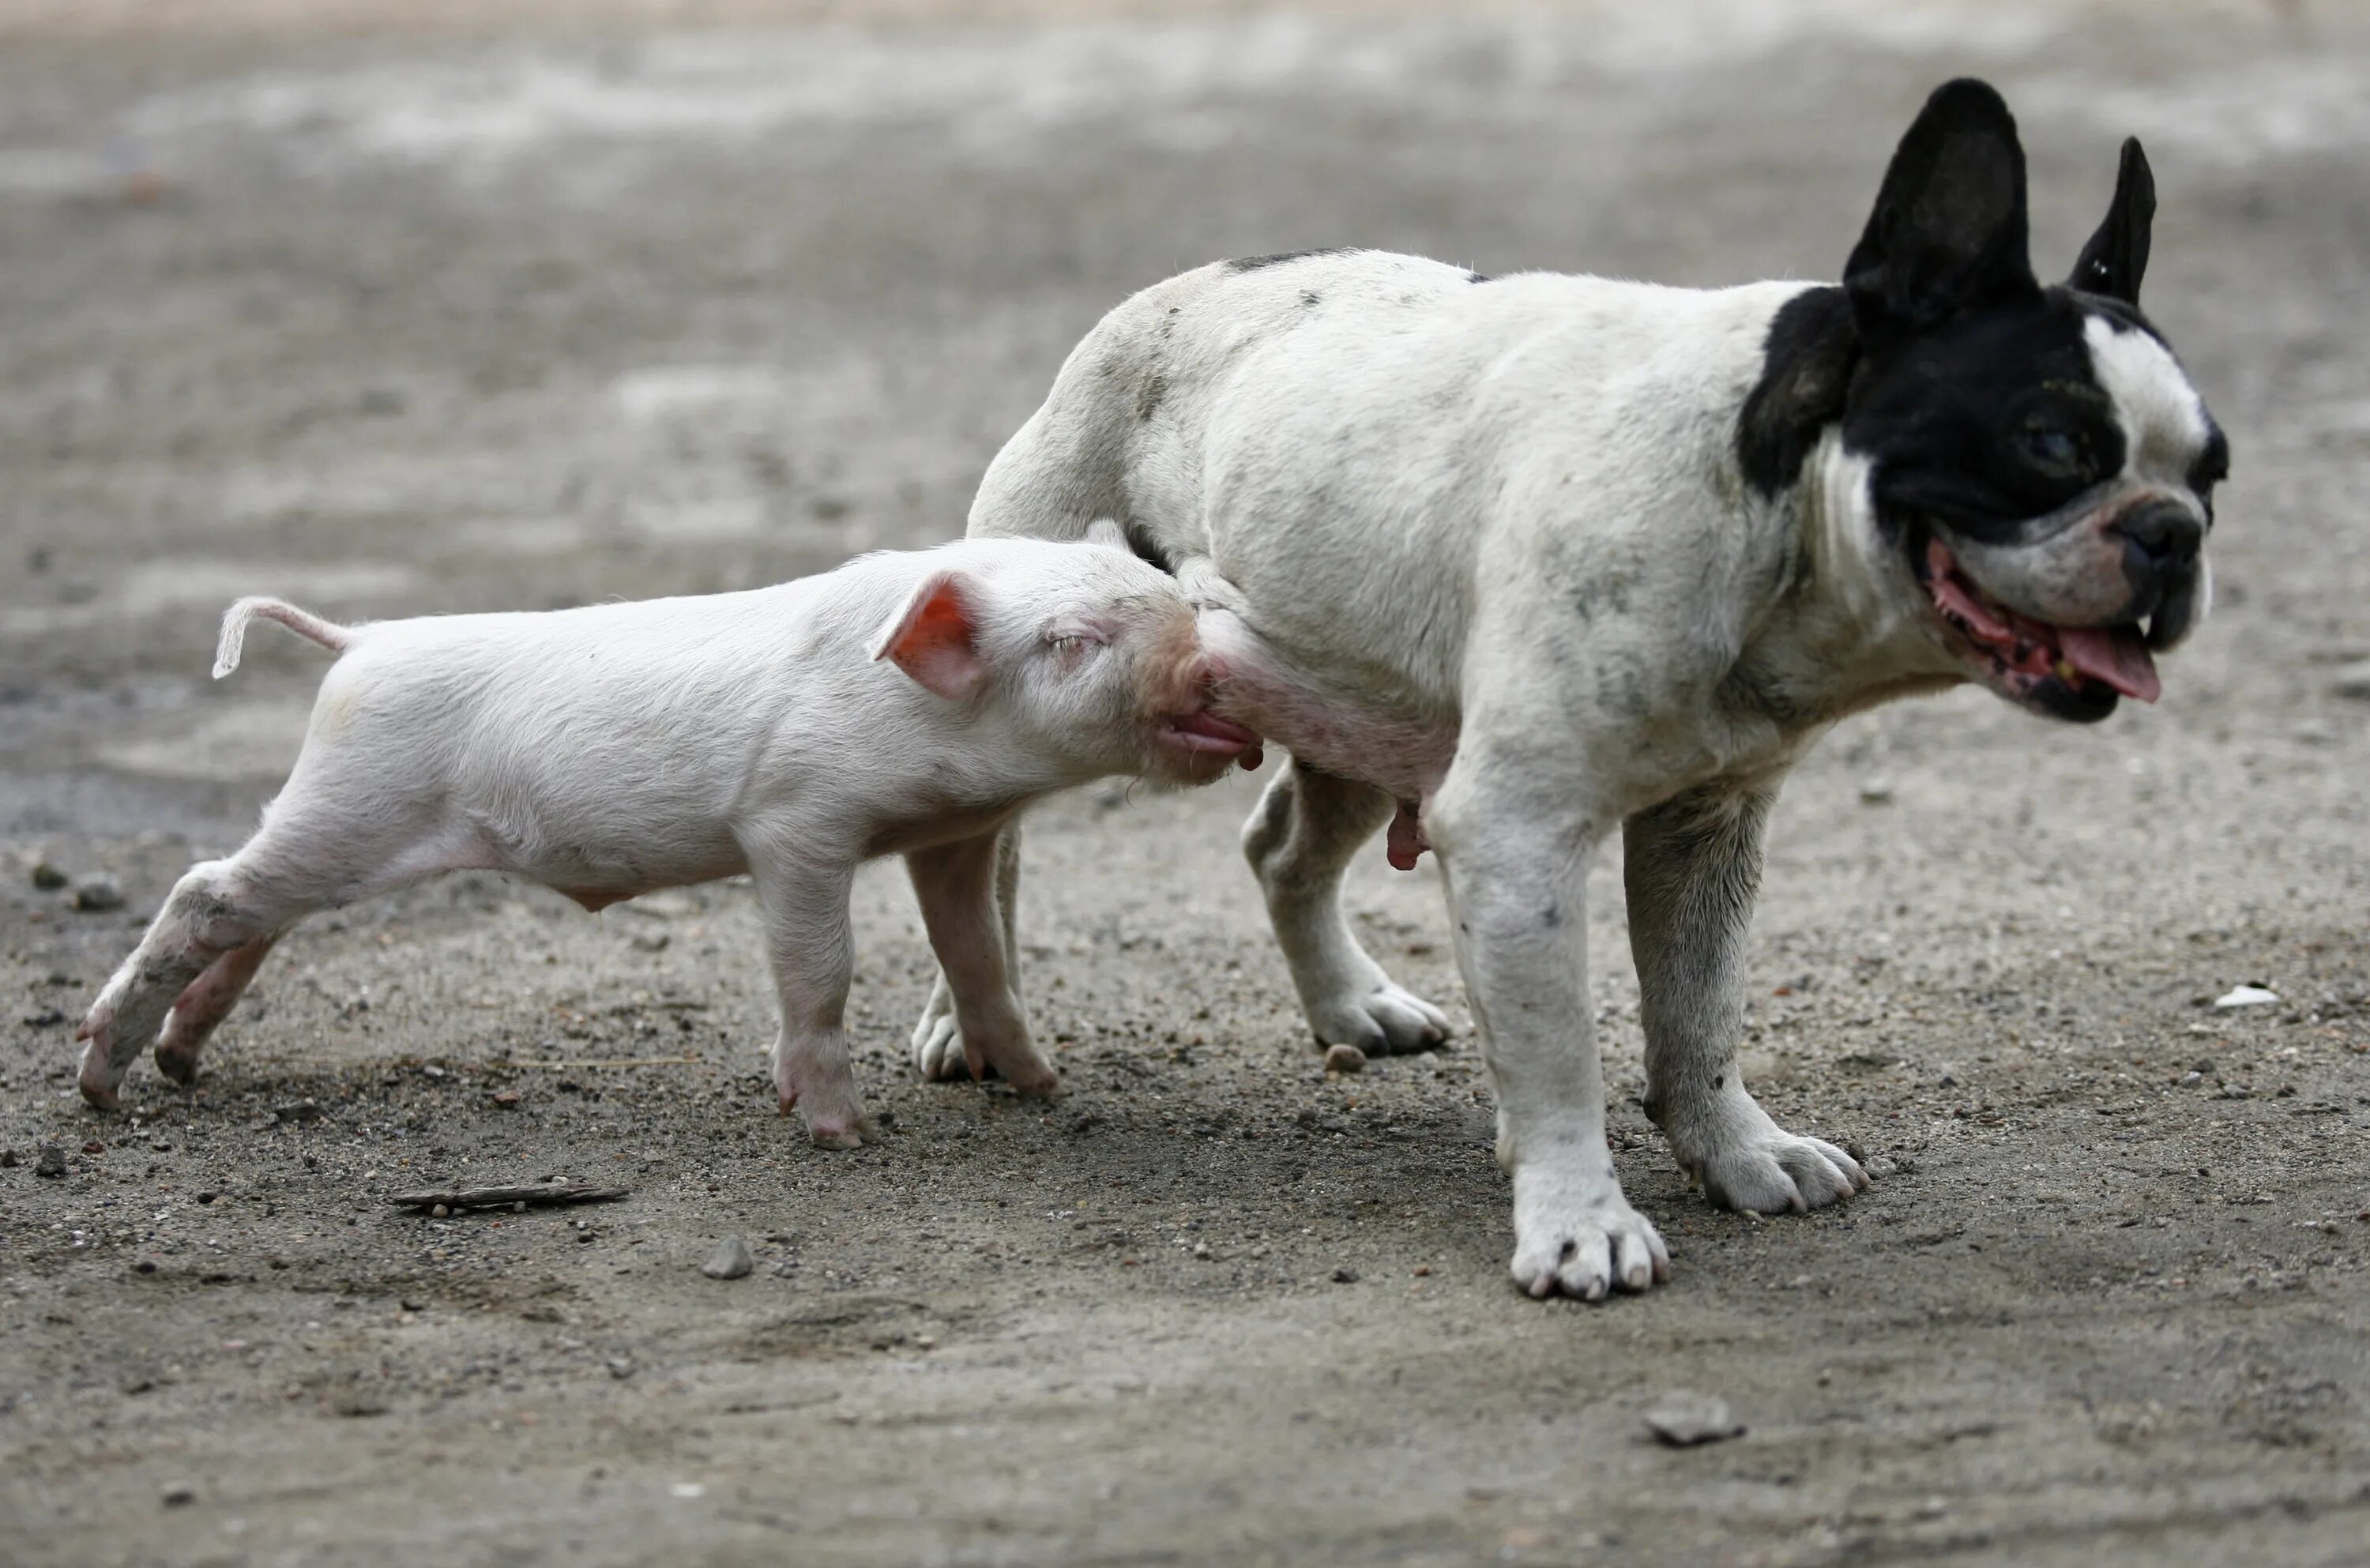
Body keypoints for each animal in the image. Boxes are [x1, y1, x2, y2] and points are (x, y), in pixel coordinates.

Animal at [905, 80, 2218, 1298]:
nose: (2175, 532)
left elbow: (1699, 1013)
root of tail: (1166, 295)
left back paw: (1350, 1004)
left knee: (1283, 847)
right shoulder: (1518, 831)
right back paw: (966, 1019)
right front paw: (1582, 1225)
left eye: (2215, 468)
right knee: (986, 860)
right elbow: (1561, 1052)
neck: (1765, 495)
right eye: (2051, 445)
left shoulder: (1706, 828)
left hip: (1358, 702)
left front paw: (1738, 1150)